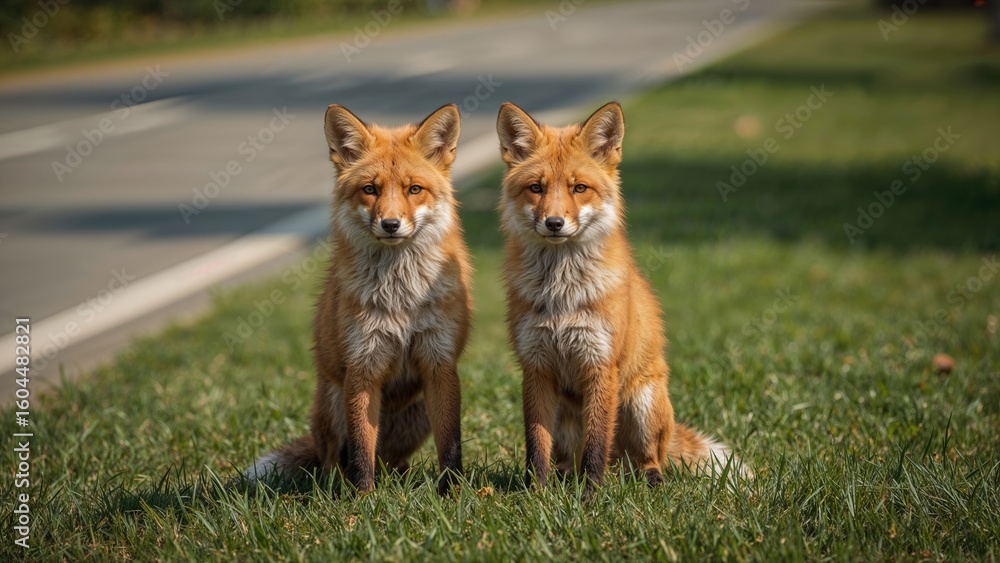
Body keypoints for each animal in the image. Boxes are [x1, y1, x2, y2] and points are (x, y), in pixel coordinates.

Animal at [245, 104, 472, 495]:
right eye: (370, 189)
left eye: (414, 189)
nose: (391, 224)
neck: (401, 300)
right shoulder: (363, 363)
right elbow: (361, 449)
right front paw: (364, 500)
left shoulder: (438, 362)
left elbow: (450, 443)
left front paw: (453, 493)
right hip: (335, 404)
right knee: (337, 459)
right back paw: (338, 484)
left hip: (419, 412)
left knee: (392, 460)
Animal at [496, 101, 746, 492]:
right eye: (536, 188)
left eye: (579, 188)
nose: (554, 223)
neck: (561, 295)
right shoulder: (535, 366)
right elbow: (536, 446)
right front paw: (536, 493)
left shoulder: (601, 363)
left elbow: (598, 443)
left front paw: (591, 496)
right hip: (566, 416)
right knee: (568, 458)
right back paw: (564, 478)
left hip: (642, 404)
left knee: (645, 457)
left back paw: (649, 478)